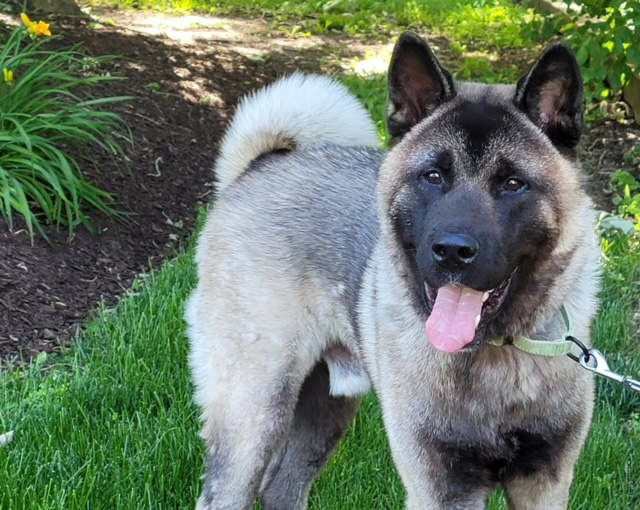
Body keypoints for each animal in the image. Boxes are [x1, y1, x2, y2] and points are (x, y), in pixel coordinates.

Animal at [185, 31, 600, 510]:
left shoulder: (544, 481)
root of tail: (258, 167)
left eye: (513, 184)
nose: (452, 251)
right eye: (433, 176)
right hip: (254, 416)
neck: (493, 356)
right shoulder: (440, 487)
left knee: (281, 491)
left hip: (324, 408)